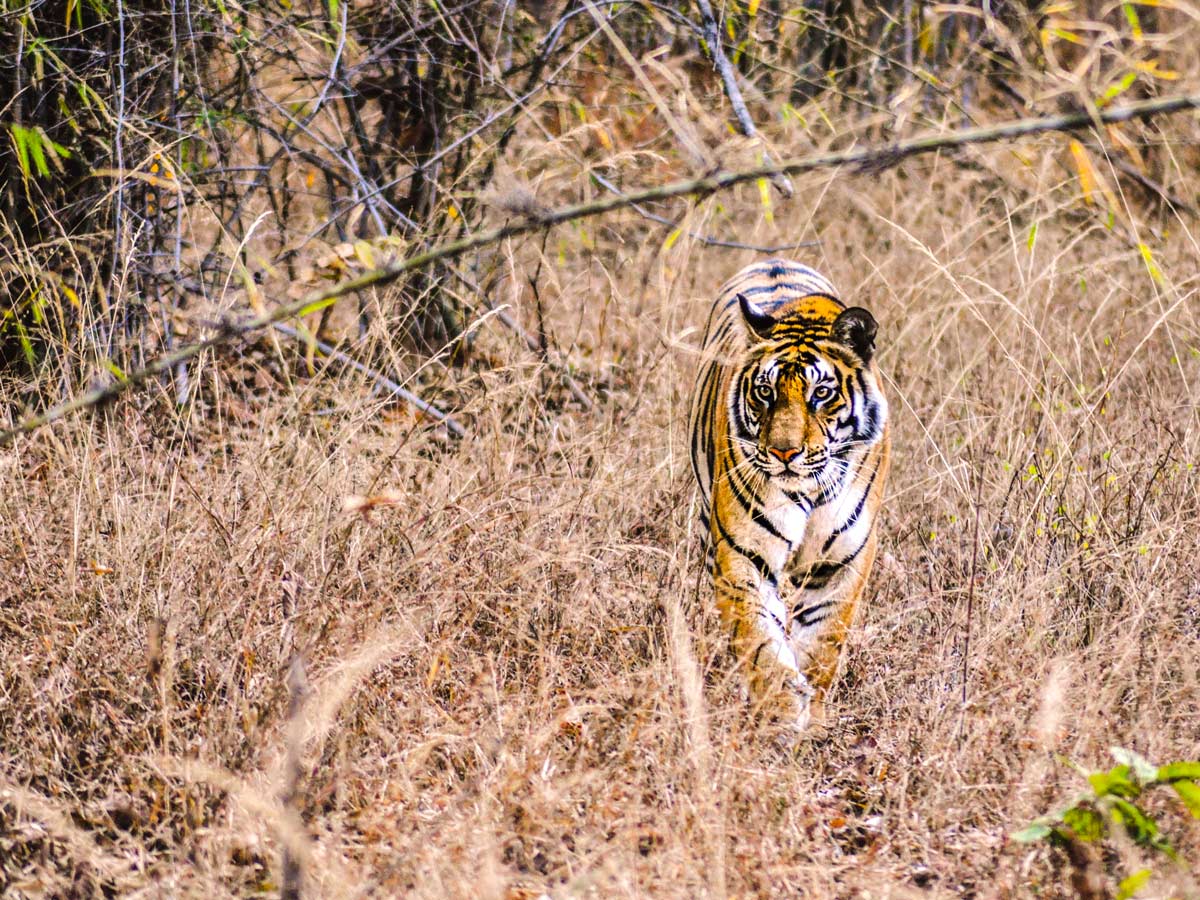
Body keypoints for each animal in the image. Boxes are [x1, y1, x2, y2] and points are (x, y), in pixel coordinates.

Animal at [691, 256, 888, 734]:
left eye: (822, 393)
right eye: (765, 391)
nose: (784, 452)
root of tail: (773, 259)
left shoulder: (842, 565)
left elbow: (822, 643)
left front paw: (812, 716)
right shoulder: (743, 557)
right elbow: (759, 640)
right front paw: (780, 707)